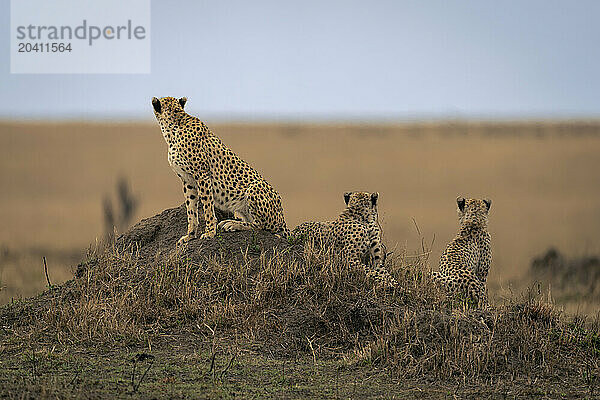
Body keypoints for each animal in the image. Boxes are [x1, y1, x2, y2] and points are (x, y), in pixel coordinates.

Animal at [152, 96, 288, 244]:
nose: (191, 235)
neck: (173, 127)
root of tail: (282, 218)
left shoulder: (202, 175)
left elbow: (207, 206)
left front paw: (210, 232)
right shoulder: (187, 180)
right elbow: (191, 209)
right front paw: (190, 235)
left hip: (255, 187)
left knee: (261, 226)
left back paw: (232, 224)